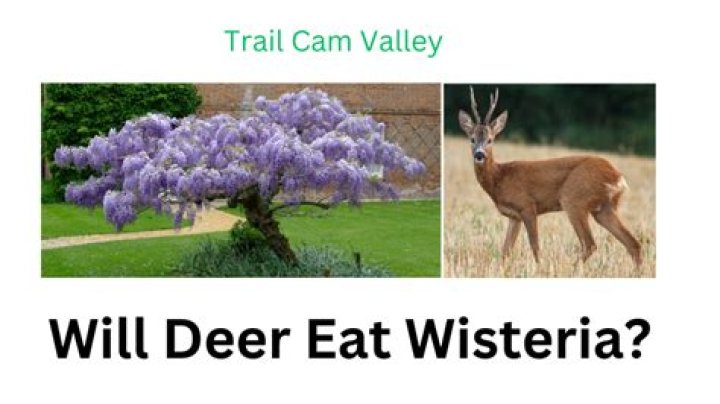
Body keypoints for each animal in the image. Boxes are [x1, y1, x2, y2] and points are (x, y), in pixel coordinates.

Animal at [458, 87, 642, 267]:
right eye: (472, 139)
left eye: (490, 140)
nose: (479, 155)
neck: (499, 177)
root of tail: (618, 177)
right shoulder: (514, 217)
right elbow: (505, 250)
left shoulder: (527, 206)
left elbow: (535, 246)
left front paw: (540, 268)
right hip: (604, 208)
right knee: (633, 243)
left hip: (574, 200)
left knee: (590, 244)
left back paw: (570, 268)